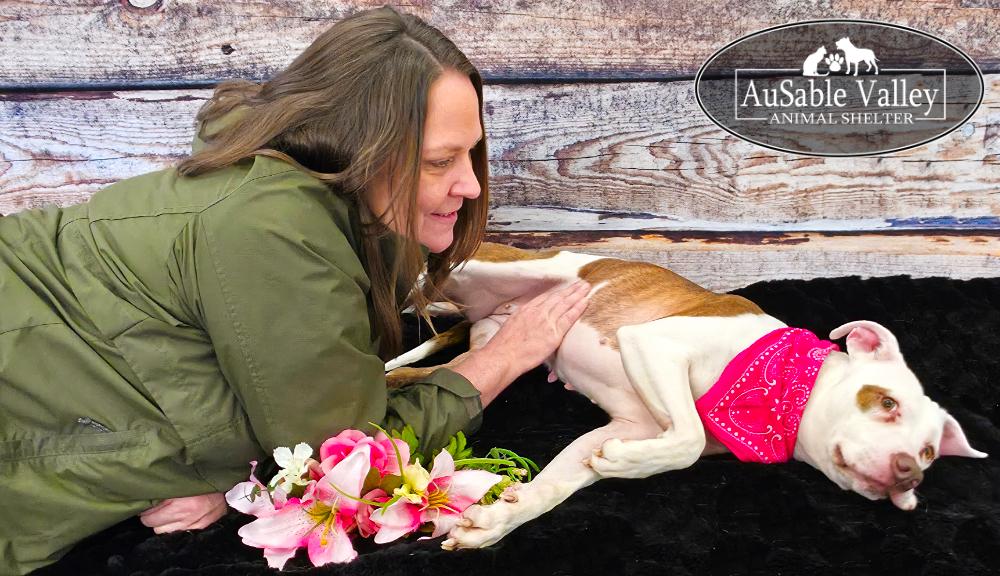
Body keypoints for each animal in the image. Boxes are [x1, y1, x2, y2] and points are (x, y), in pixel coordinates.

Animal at [386, 243, 986, 550]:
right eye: (886, 403)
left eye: (930, 453)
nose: (909, 473)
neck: (781, 397)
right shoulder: (654, 344)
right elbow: (692, 437)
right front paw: (627, 463)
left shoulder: (626, 426)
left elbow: (562, 482)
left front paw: (501, 518)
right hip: (502, 264)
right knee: (417, 281)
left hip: (486, 352)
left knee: (432, 371)